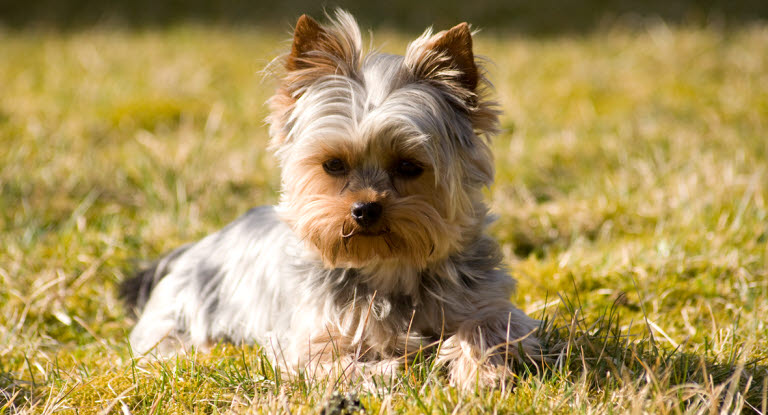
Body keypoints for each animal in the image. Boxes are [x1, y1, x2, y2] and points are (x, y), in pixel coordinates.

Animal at [121, 9, 540, 390]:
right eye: (333, 164)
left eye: (408, 165)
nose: (365, 209)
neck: (386, 265)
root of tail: (194, 247)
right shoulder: (309, 337)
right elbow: (333, 363)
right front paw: (395, 370)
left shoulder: (489, 303)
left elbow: (488, 326)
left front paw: (483, 373)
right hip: (176, 321)